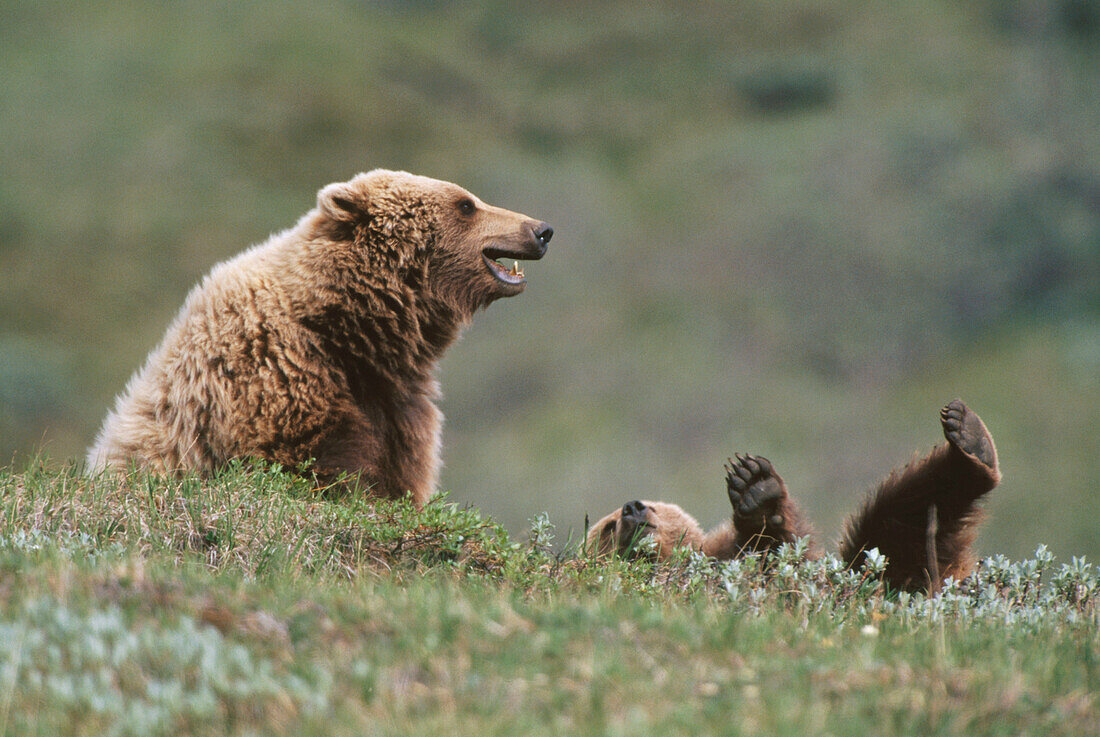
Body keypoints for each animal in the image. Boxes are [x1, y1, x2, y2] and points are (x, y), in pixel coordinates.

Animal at [88, 169, 550, 508]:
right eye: (466, 204)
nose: (541, 230)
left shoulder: (398, 404)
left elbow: (401, 475)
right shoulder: (279, 376)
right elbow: (311, 469)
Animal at [589, 400, 1003, 594]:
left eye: (655, 505)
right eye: (606, 528)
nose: (632, 507)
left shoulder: (729, 551)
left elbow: (779, 549)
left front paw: (756, 487)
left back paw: (970, 437)